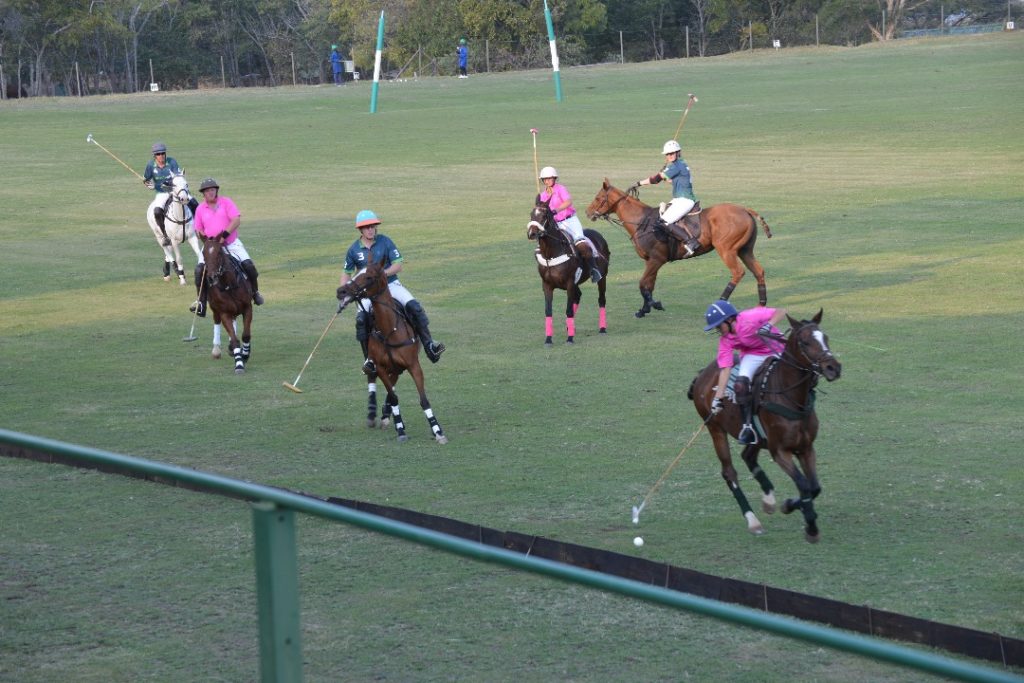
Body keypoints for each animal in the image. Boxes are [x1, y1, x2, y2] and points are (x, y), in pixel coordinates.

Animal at [201, 236, 253, 374]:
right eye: (203, 253)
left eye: (219, 252)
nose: (211, 278)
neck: (228, 285)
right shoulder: (224, 313)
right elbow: (234, 340)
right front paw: (239, 364)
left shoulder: (247, 308)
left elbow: (246, 335)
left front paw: (245, 355)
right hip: (215, 309)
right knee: (217, 321)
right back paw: (216, 350)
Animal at [337, 255, 446, 444]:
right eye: (356, 272)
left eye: (368, 277)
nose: (341, 291)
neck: (389, 330)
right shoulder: (381, 367)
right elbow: (394, 398)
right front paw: (400, 429)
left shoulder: (413, 365)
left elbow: (423, 400)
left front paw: (437, 431)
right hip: (379, 364)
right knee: (375, 379)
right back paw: (374, 413)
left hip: (398, 367)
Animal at [528, 197, 606, 348]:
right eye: (531, 214)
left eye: (544, 215)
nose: (531, 234)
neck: (551, 254)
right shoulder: (547, 285)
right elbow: (548, 311)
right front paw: (548, 339)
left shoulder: (569, 283)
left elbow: (568, 309)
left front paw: (570, 338)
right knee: (578, 296)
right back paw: (570, 327)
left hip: (602, 277)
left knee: (601, 300)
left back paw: (602, 328)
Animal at [589, 181, 770, 321]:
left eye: (598, 198)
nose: (588, 212)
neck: (641, 222)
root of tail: (745, 209)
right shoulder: (651, 261)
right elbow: (649, 285)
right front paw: (644, 309)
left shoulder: (657, 260)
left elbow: (642, 283)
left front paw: (655, 305)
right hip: (745, 250)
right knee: (759, 271)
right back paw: (761, 305)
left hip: (726, 250)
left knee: (738, 272)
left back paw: (720, 302)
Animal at [688, 311, 839, 544]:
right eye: (805, 342)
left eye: (826, 338)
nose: (834, 368)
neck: (792, 397)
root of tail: (702, 374)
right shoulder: (780, 451)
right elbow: (804, 485)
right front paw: (809, 524)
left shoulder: (806, 448)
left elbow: (814, 487)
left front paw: (792, 508)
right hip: (715, 428)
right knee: (729, 472)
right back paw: (753, 521)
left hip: (757, 437)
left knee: (748, 455)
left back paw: (768, 500)